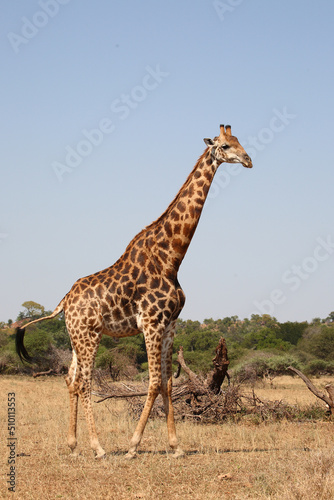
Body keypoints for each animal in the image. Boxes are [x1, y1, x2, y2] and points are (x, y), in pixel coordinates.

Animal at [15, 124, 250, 458]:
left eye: (240, 141)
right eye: (226, 145)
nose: (249, 160)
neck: (171, 258)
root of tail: (64, 301)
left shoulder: (170, 325)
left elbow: (166, 383)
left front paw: (175, 446)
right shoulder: (151, 323)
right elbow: (152, 382)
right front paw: (133, 445)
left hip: (75, 337)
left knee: (70, 379)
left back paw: (73, 445)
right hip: (89, 336)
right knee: (85, 382)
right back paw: (98, 448)